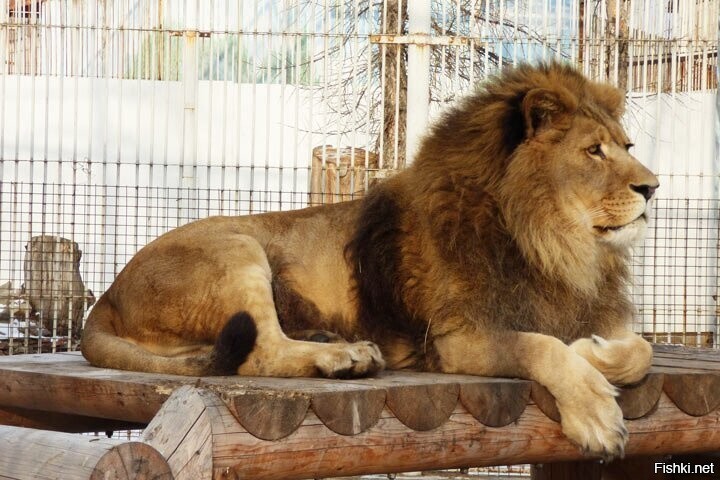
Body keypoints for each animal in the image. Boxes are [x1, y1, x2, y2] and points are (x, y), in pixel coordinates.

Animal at [82, 62, 658, 460]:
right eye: (594, 151)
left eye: (628, 146)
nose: (652, 187)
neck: (552, 243)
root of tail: (105, 297)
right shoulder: (456, 339)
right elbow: (541, 347)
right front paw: (596, 413)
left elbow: (641, 350)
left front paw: (594, 347)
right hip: (236, 246)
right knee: (260, 353)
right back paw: (346, 357)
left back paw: (330, 343)